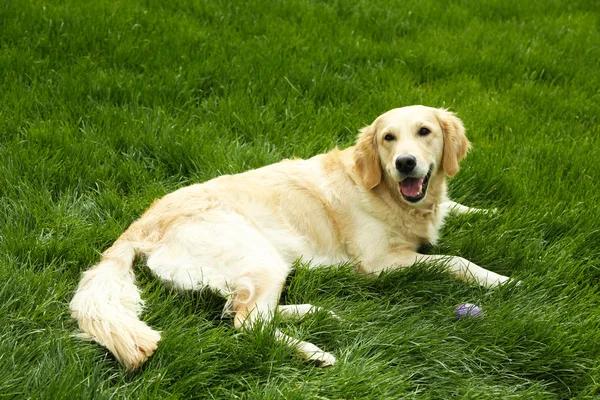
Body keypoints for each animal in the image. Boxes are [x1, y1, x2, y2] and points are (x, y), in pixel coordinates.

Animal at [70, 105, 510, 368]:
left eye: (424, 131)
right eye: (388, 138)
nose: (405, 163)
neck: (390, 195)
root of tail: (141, 224)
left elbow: (458, 207)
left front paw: (496, 213)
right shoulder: (377, 264)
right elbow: (452, 259)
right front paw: (501, 280)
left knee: (241, 309)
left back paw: (319, 313)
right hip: (257, 254)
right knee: (248, 322)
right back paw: (316, 352)